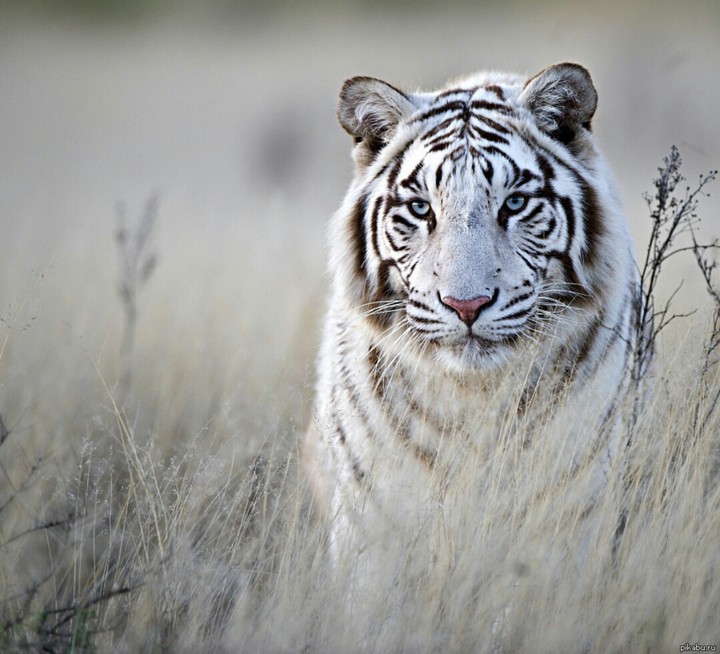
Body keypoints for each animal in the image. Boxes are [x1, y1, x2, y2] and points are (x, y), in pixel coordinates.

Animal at [304, 62, 640, 591]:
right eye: (421, 208)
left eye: (516, 203)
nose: (467, 305)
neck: (474, 398)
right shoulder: (375, 526)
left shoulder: (569, 516)